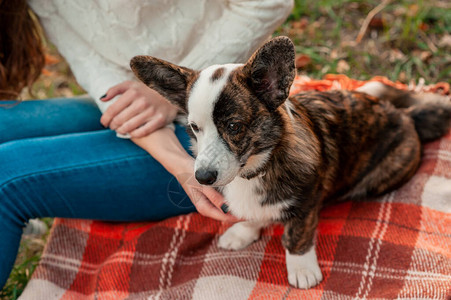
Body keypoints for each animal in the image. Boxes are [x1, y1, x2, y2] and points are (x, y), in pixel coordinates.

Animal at [129, 37, 450, 288]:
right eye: (195, 128)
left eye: (234, 126)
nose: (203, 178)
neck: (258, 166)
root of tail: (406, 116)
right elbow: (251, 216)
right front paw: (243, 233)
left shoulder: (306, 203)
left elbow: (296, 236)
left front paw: (303, 271)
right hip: (373, 88)